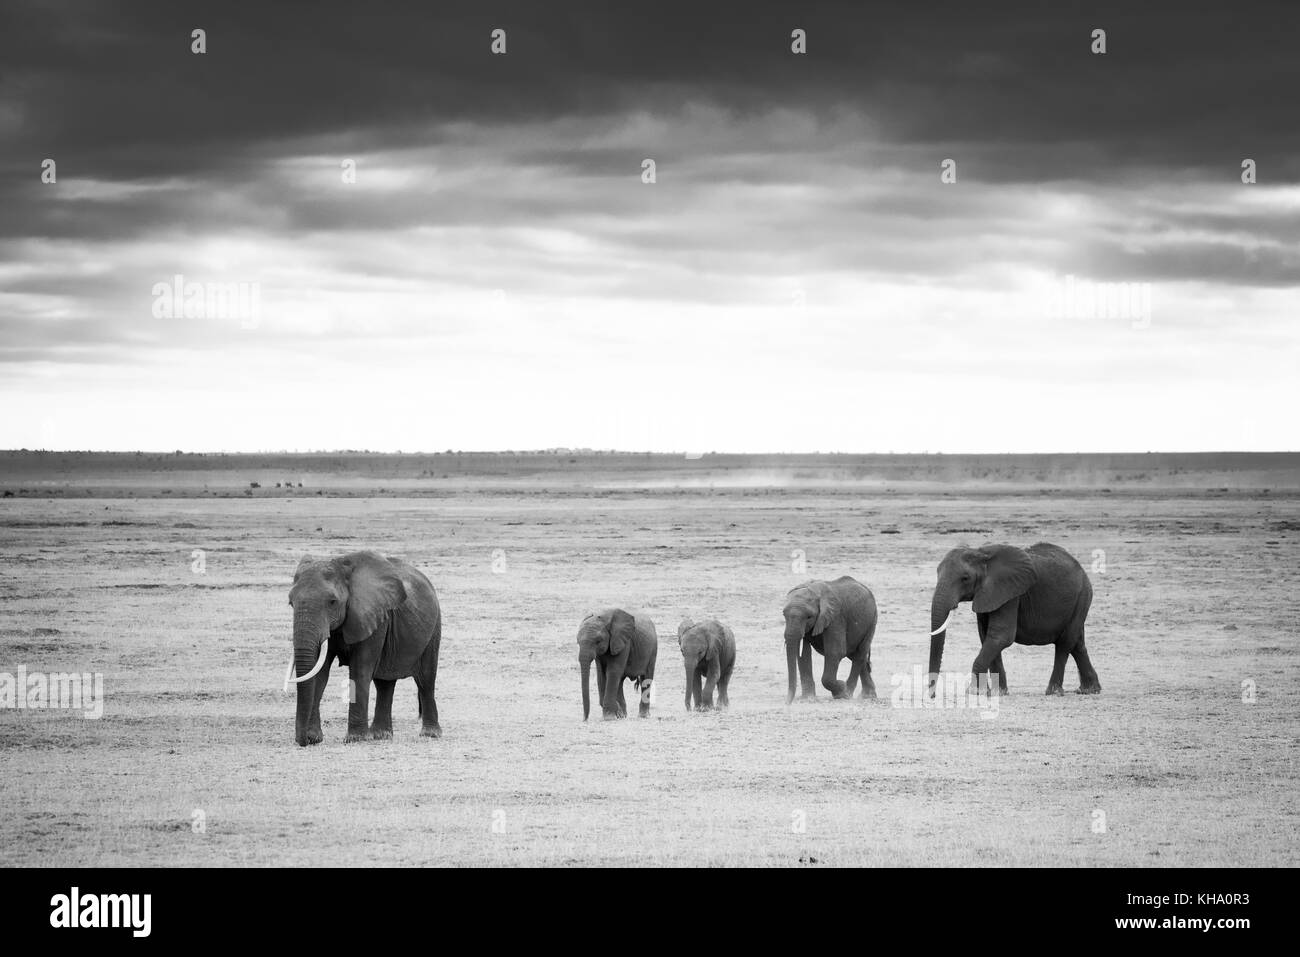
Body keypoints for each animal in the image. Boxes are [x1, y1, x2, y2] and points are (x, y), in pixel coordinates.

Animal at [286, 553, 444, 748]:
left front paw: (356, 739)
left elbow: (360, 670)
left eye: (332, 602)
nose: (304, 741)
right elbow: (320, 673)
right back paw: (381, 735)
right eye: (291, 603)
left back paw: (430, 734)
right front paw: (315, 738)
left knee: (425, 679)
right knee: (384, 682)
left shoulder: (375, 617)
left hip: (434, 627)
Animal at [774, 574, 878, 702]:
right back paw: (867, 696)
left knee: (859, 654)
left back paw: (848, 693)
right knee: (857, 656)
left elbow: (835, 652)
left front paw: (841, 690)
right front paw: (808, 698)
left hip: (872, 621)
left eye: (809, 617)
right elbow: (803, 654)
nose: (787, 703)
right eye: (784, 615)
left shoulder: (835, 617)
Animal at [925, 546, 1097, 696]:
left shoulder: (1009, 593)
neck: (982, 554)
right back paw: (1089, 690)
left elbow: (1001, 636)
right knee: (1077, 644)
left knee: (1064, 643)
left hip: (1082, 596)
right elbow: (986, 636)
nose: (932, 696)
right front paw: (997, 692)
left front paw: (975, 692)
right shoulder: (987, 595)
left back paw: (1054, 692)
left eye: (965, 578)